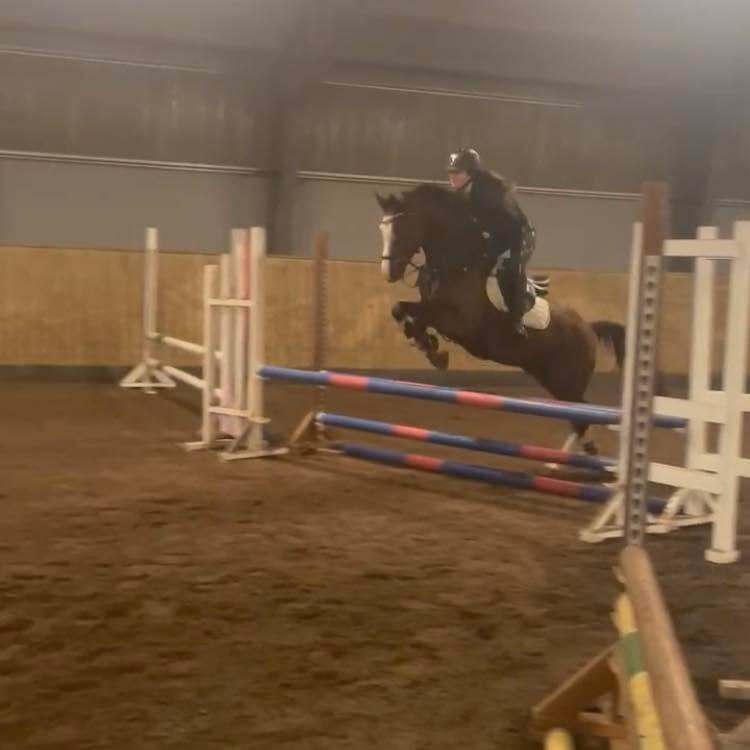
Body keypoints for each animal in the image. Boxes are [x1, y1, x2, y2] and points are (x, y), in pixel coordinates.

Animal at [375, 184, 625, 456]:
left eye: (404, 227)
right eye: (382, 230)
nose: (389, 274)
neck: (455, 262)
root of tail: (588, 329)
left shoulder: (460, 321)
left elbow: (416, 313)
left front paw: (431, 349)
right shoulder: (432, 309)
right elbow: (401, 310)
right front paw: (430, 347)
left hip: (567, 382)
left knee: (584, 414)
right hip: (551, 379)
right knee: (579, 416)